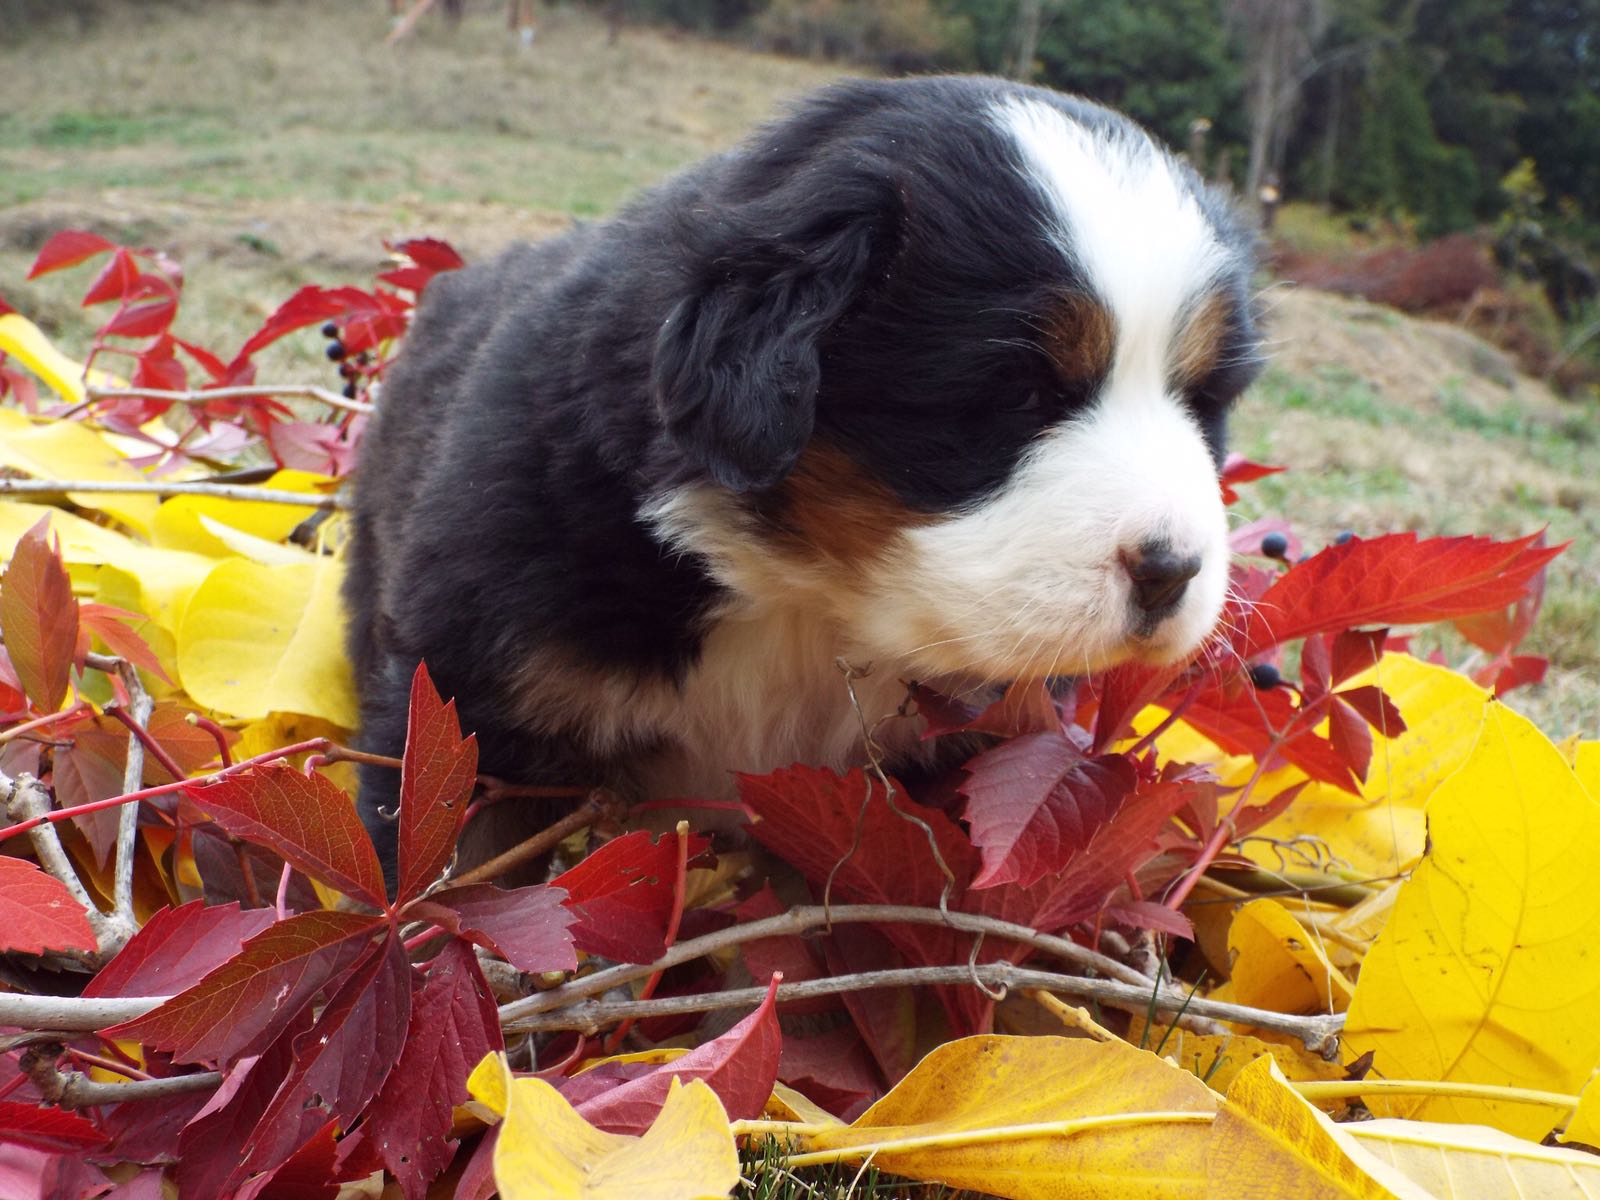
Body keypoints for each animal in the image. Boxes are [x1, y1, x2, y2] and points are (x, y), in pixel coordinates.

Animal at [343, 75, 1262, 879]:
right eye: (1021, 393)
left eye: (1201, 399)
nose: (1171, 571)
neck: (806, 603)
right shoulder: (470, 708)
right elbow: (445, 892)